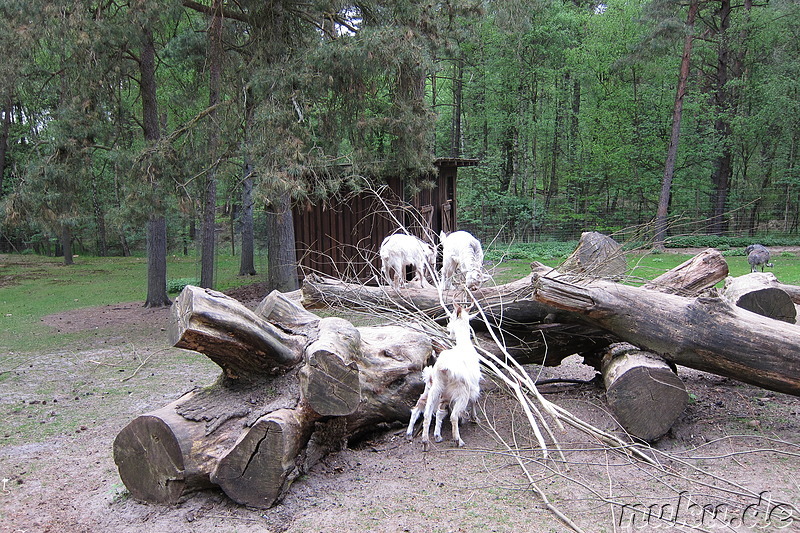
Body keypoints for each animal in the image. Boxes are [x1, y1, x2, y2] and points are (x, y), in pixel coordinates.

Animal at [406, 304, 482, 448]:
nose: (448, 330)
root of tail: (444, 368)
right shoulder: (474, 386)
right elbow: (475, 400)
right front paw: (474, 418)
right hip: (461, 393)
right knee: (453, 416)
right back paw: (458, 440)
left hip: (435, 390)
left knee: (426, 413)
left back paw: (424, 441)